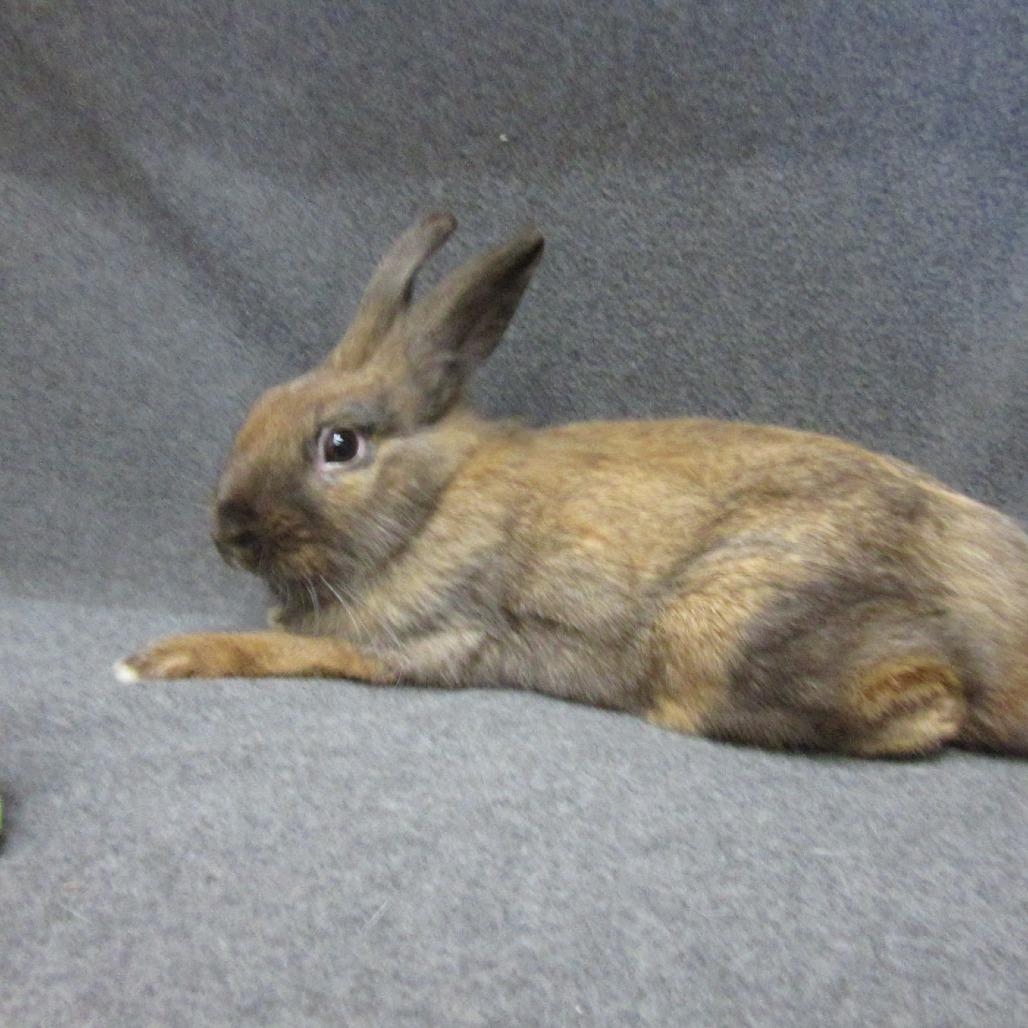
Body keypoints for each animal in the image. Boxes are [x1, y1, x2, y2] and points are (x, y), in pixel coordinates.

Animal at [115, 212, 1028, 757]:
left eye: (340, 444)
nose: (229, 534)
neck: (429, 505)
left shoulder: (419, 636)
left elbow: (287, 650)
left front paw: (159, 659)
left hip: (725, 623)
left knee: (931, 702)